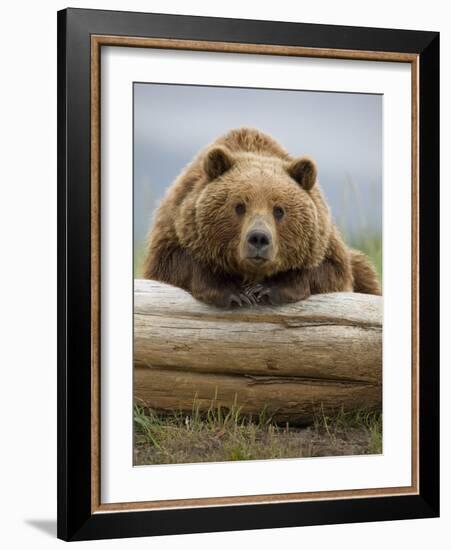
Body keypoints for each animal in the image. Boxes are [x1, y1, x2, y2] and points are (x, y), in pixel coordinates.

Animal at [144, 130, 382, 310]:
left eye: (279, 210)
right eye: (239, 206)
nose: (258, 238)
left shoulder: (324, 245)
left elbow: (331, 272)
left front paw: (267, 288)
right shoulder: (175, 226)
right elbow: (173, 264)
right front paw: (234, 292)